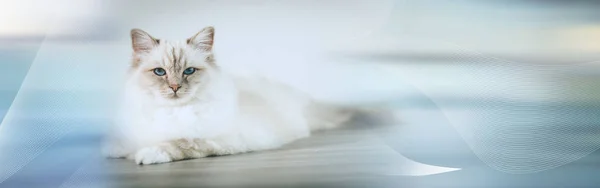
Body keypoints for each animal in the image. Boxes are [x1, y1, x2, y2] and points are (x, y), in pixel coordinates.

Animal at [102, 26, 382, 164]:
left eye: (189, 71)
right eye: (160, 72)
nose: (174, 87)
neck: (173, 112)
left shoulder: (218, 140)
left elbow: (180, 143)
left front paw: (147, 154)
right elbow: (126, 144)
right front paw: (117, 151)